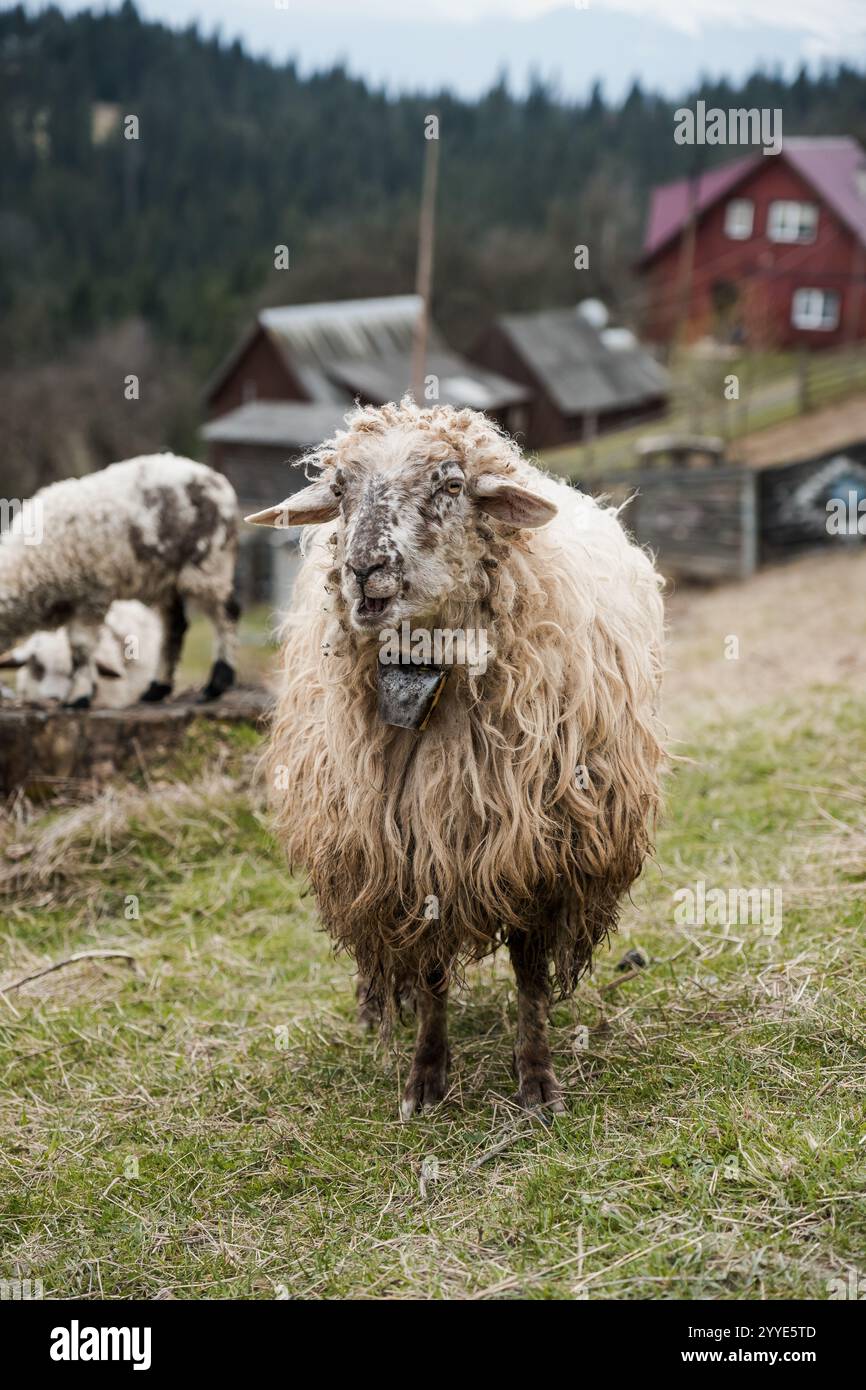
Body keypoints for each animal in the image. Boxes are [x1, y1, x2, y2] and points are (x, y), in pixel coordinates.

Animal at [247, 400, 665, 1117]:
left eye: (449, 484)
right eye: (340, 490)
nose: (365, 570)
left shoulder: (541, 854)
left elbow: (528, 976)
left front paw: (537, 1082)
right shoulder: (414, 853)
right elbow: (435, 976)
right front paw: (425, 1076)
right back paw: (377, 1003)